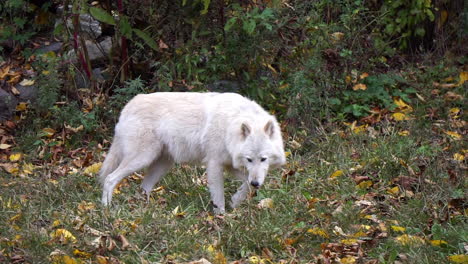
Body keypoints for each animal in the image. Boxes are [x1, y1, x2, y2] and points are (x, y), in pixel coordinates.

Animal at [99, 92, 286, 213]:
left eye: (263, 159)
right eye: (249, 159)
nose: (257, 183)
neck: (229, 125)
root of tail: (128, 106)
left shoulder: (230, 165)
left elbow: (246, 184)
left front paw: (235, 201)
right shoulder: (214, 164)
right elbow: (219, 196)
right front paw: (222, 218)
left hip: (162, 164)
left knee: (144, 187)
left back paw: (146, 211)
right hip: (142, 158)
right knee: (109, 179)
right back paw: (106, 209)